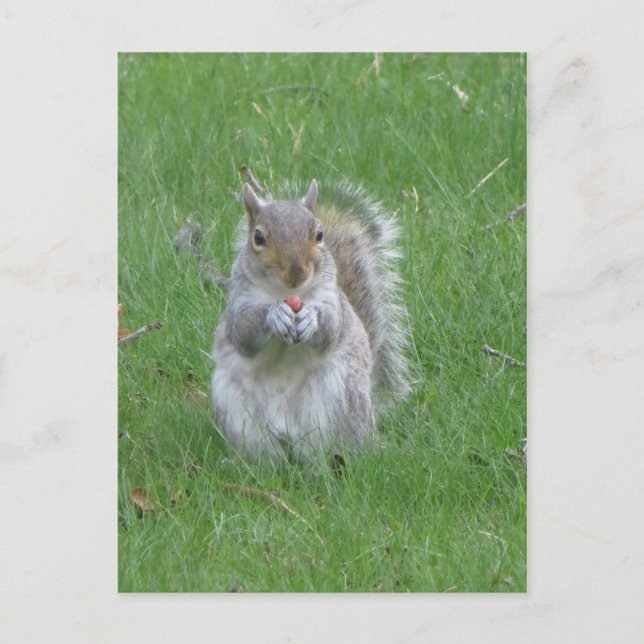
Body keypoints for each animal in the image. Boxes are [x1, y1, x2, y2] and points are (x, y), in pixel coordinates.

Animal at [211, 178, 410, 464]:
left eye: (319, 234)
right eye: (258, 237)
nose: (296, 271)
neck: (284, 292)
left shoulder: (331, 299)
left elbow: (330, 327)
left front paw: (310, 319)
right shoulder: (238, 301)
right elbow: (244, 331)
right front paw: (274, 315)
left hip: (338, 399)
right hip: (238, 410)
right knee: (264, 455)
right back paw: (243, 463)